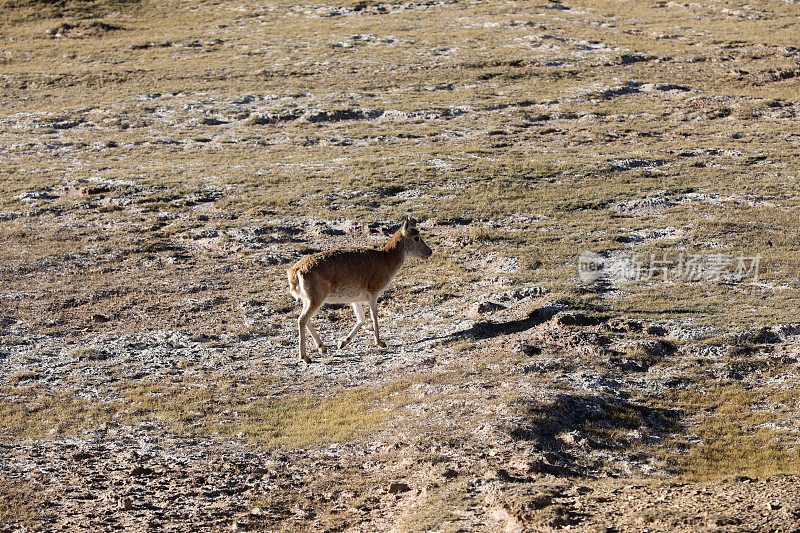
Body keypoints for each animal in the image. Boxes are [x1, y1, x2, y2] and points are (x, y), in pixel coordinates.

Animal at [290, 216, 432, 362]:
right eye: (416, 237)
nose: (429, 251)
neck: (386, 261)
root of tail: (295, 272)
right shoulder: (373, 293)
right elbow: (374, 316)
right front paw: (380, 342)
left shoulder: (355, 299)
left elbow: (361, 319)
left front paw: (342, 342)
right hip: (316, 298)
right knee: (302, 319)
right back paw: (305, 356)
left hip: (308, 299)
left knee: (305, 318)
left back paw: (322, 347)